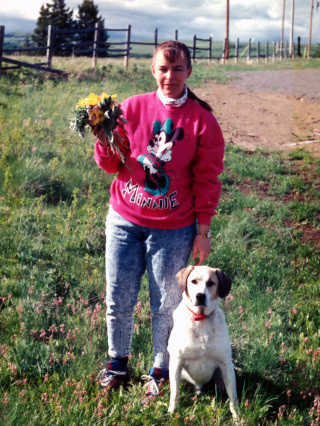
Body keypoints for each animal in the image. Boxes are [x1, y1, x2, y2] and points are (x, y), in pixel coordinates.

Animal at [168, 264, 238, 418]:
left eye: (211, 283)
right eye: (193, 281)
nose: (200, 296)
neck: (201, 319)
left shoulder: (226, 364)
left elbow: (233, 397)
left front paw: (238, 417)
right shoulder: (176, 361)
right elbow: (175, 392)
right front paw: (172, 411)